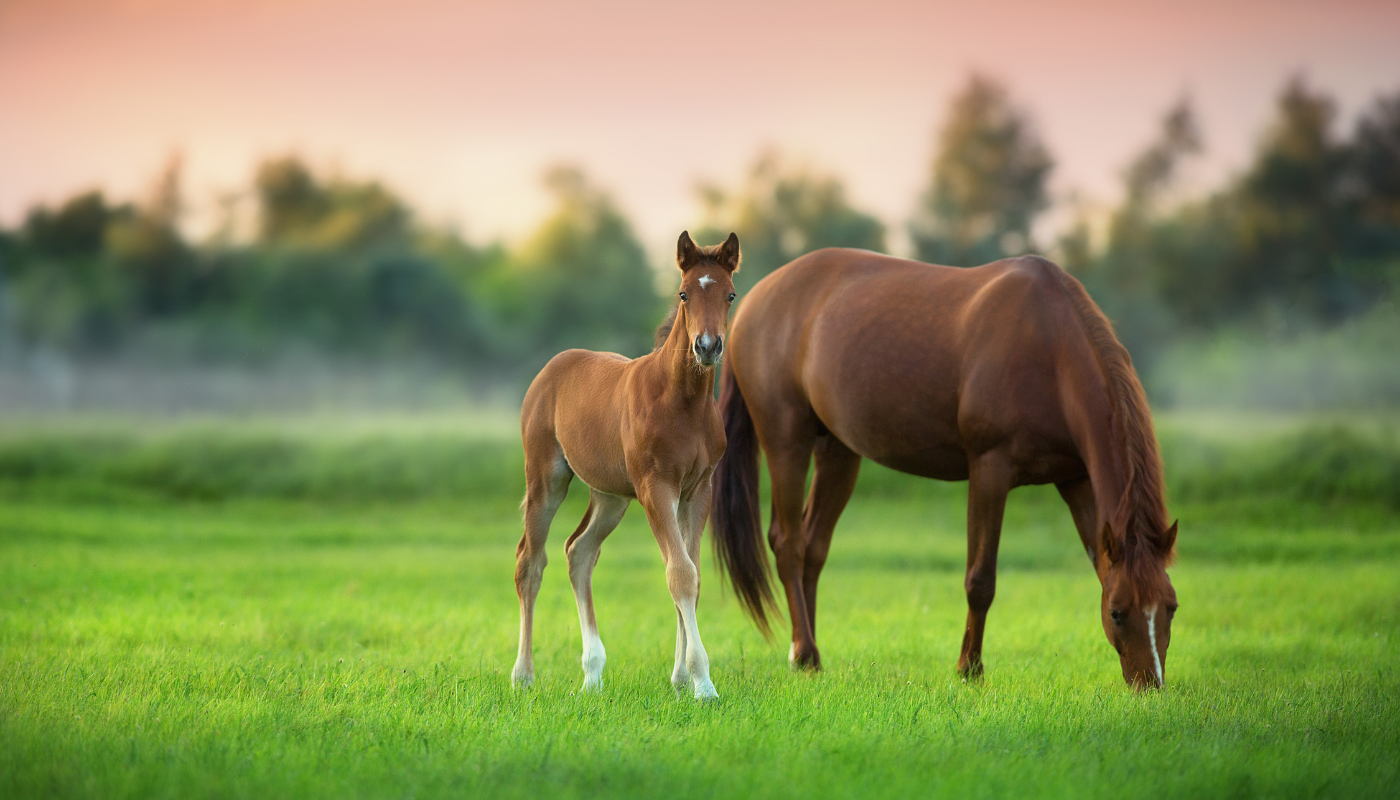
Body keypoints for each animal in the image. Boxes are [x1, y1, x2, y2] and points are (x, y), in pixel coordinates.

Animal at [509, 228, 739, 697]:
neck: (682, 403)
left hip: (610, 496)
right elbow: (679, 574)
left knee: (578, 552)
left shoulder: (697, 490)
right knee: (530, 562)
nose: (707, 347)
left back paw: (592, 674)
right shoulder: (656, 488)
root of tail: (552, 366)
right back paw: (523, 676)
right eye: (684, 293)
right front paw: (703, 684)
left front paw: (681, 679)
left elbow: (692, 576)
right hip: (546, 479)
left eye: (730, 294)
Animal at [716, 249, 1176, 689]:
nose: (1149, 684)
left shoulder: (1076, 479)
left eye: (1170, 608)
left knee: (813, 547)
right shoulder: (990, 470)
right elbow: (980, 580)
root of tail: (752, 300)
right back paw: (805, 651)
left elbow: (1097, 565)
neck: (1050, 348)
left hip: (838, 451)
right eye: (1117, 612)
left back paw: (806, 655)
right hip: (786, 441)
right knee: (789, 544)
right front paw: (969, 669)